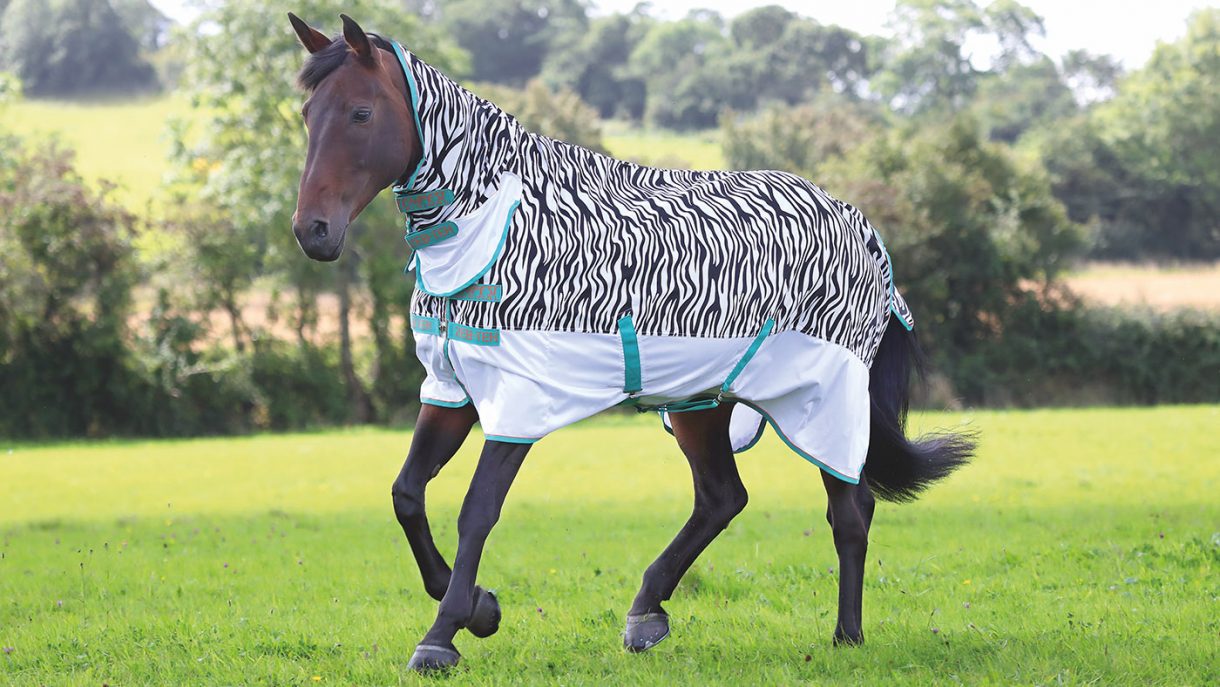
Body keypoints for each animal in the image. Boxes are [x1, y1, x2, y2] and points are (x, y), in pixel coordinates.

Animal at [286, 12, 975, 673]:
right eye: (307, 115)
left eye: (360, 112)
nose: (312, 232)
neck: (492, 223)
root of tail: (862, 229)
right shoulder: (450, 387)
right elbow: (406, 494)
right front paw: (481, 609)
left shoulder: (520, 398)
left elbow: (476, 510)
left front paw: (443, 636)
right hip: (701, 402)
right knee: (723, 498)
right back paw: (647, 612)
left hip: (824, 401)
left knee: (850, 510)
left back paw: (846, 637)